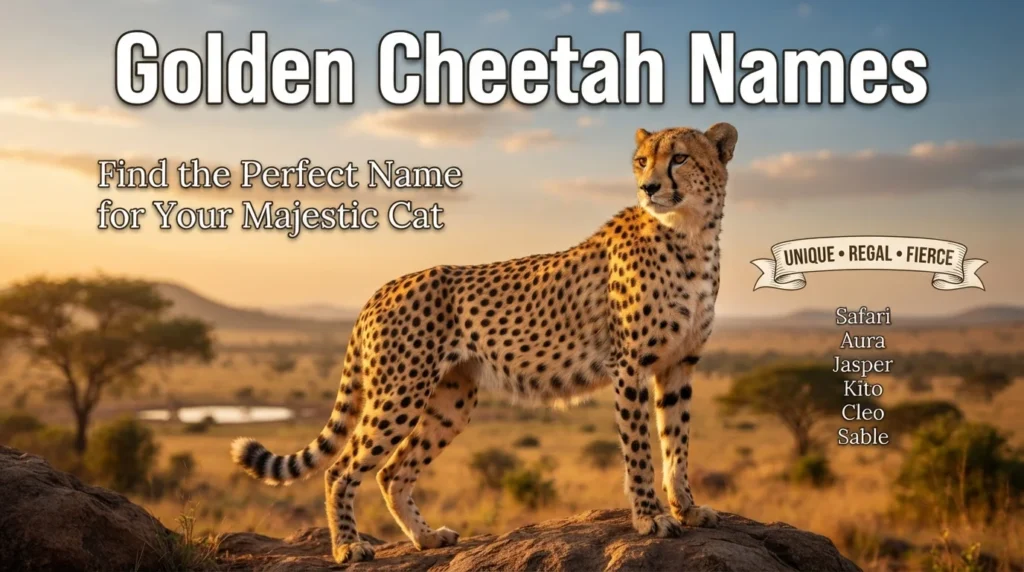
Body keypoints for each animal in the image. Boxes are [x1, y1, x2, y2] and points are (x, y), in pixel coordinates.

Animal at [231, 122, 738, 564]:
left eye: (679, 158)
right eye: (641, 161)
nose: (649, 188)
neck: (691, 236)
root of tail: (383, 287)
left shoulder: (679, 365)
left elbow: (676, 444)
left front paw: (688, 509)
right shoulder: (630, 365)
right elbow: (639, 450)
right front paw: (649, 518)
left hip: (450, 401)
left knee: (393, 471)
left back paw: (426, 538)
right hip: (399, 394)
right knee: (341, 468)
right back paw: (348, 547)